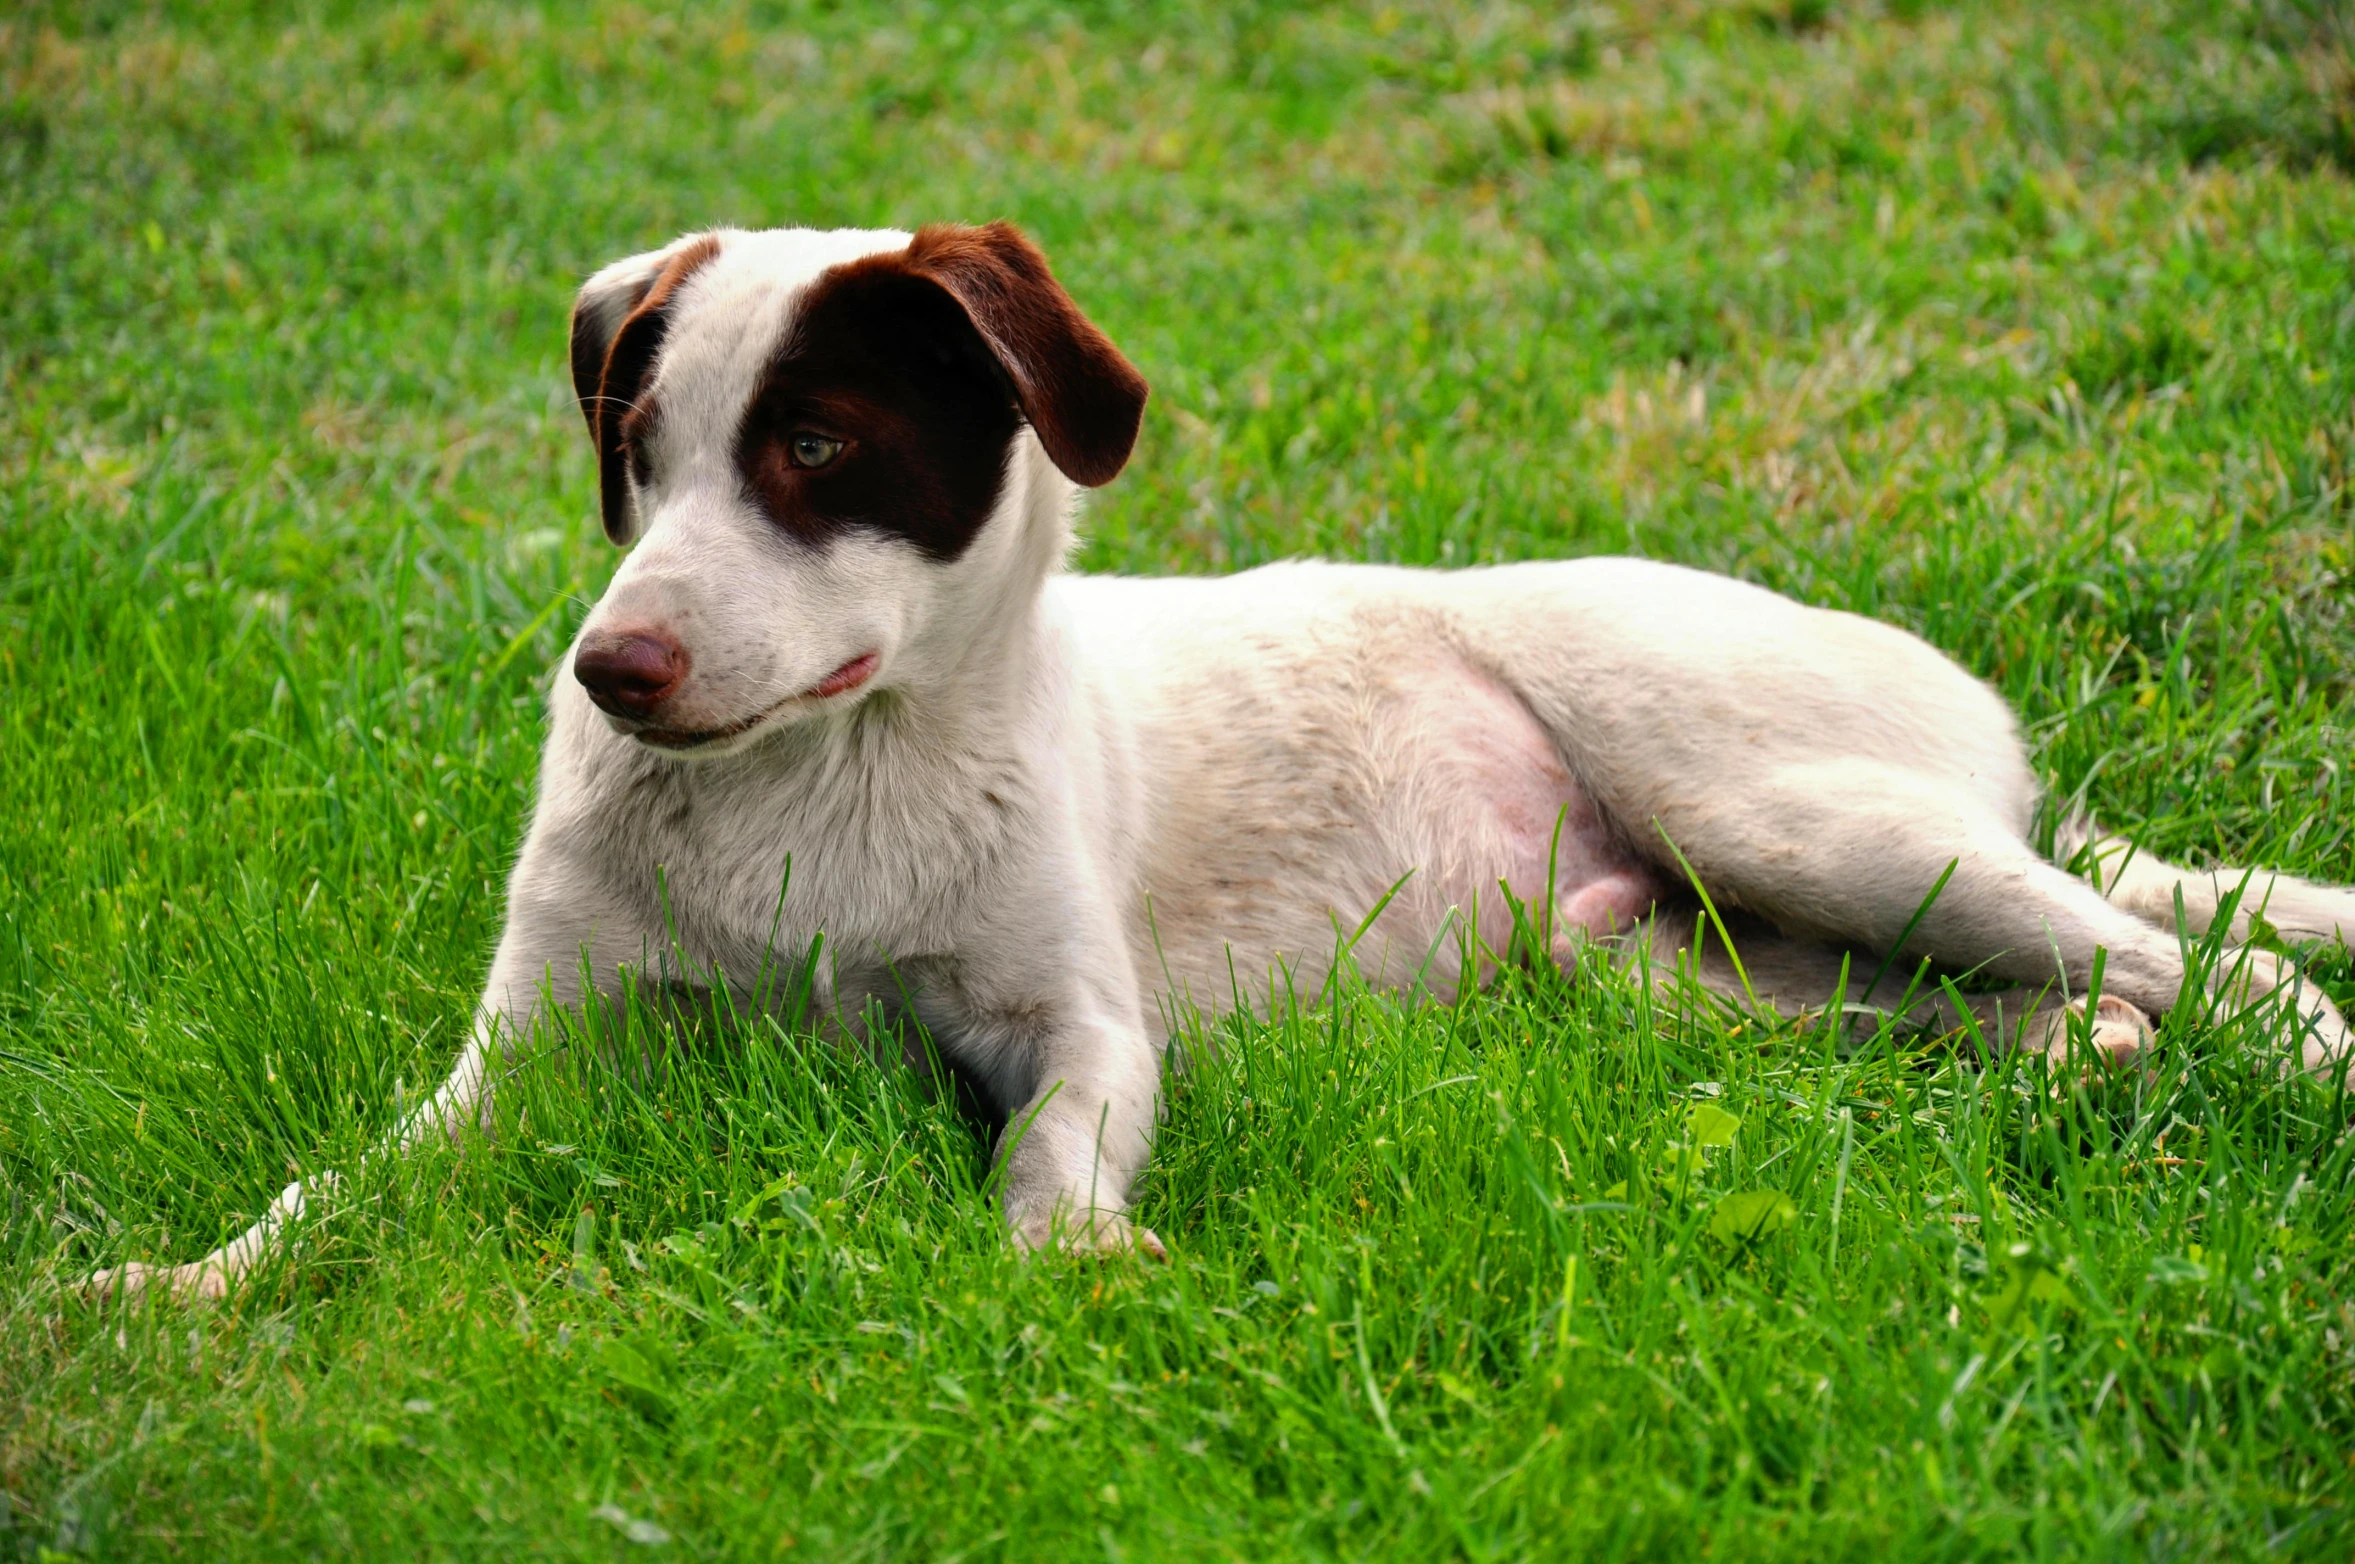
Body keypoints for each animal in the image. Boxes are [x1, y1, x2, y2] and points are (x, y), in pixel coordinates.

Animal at [87, 220, 2355, 1290]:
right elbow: (325, 1192)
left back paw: (2276, 1061)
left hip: (1797, 811)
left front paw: (1062, 1267)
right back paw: (2073, 1069)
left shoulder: (1076, 1026)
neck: (823, 788)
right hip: (1687, 960)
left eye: (813, 447)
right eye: (636, 450)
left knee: (2209, 954)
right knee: (2024, 998)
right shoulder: (522, 1062)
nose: (610, 665)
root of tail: (1999, 752)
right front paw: (174, 1288)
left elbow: (1039, 1154)